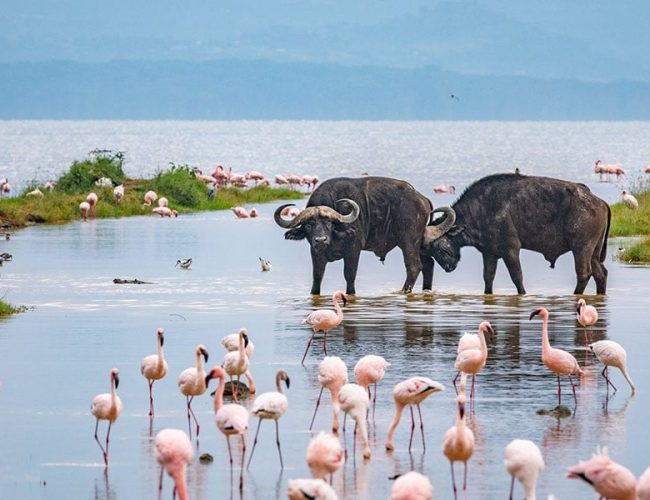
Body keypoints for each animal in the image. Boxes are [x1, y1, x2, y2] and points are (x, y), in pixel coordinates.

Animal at [276, 176, 438, 294]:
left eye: (329, 223)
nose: (320, 240)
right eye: (309, 225)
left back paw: (405, 290)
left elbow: (349, 274)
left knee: (414, 266)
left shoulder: (353, 249)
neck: (335, 235)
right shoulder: (316, 252)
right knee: (428, 264)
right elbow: (317, 276)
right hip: (419, 243)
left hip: (409, 241)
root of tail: (421, 198)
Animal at [420, 174, 608, 294]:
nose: (448, 267)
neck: (481, 209)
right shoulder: (489, 254)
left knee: (584, 273)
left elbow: (517, 277)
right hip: (594, 252)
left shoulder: (510, 250)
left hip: (581, 249)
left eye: (437, 247)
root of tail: (599, 201)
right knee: (601, 274)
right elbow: (488, 278)